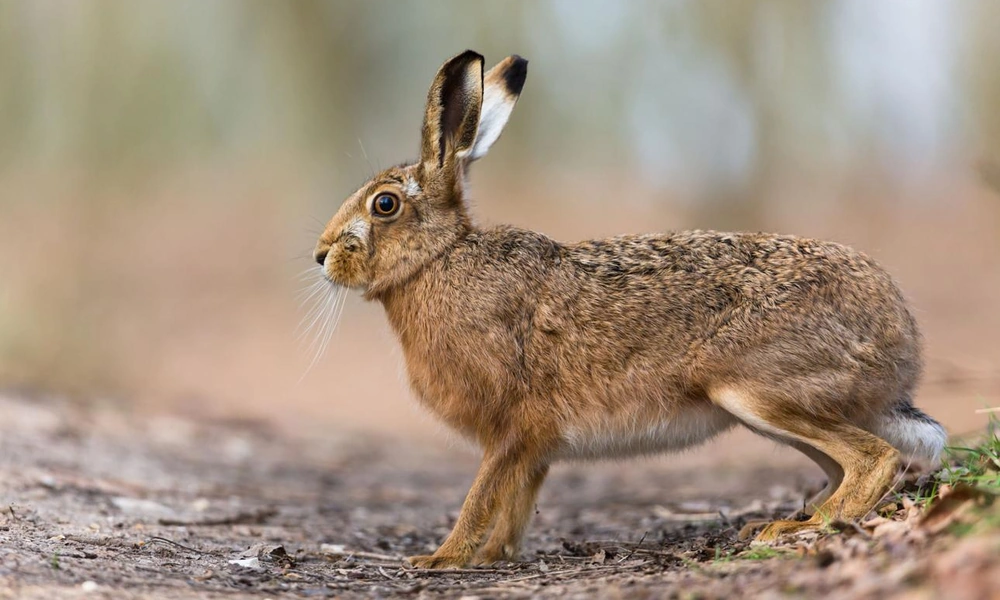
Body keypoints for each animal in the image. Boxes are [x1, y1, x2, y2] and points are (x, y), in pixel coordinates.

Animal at [312, 50, 946, 569]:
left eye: (385, 205)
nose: (321, 255)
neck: (439, 259)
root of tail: (901, 337)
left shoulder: (511, 428)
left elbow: (482, 494)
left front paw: (441, 559)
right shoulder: (532, 447)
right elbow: (517, 501)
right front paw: (497, 555)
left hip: (755, 385)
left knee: (874, 459)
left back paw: (797, 528)